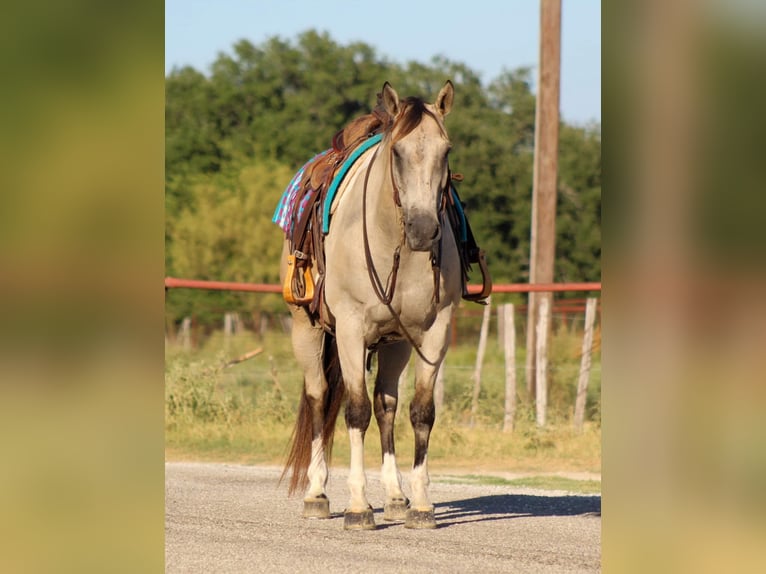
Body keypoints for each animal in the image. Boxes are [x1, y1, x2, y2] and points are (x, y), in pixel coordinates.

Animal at [280, 80, 461, 530]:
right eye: (396, 152)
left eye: (446, 150)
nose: (423, 228)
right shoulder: (349, 329)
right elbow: (355, 411)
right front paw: (359, 506)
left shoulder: (435, 332)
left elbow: (421, 412)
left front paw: (421, 505)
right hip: (306, 330)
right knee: (320, 397)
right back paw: (317, 494)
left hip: (395, 344)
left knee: (386, 405)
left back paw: (395, 497)